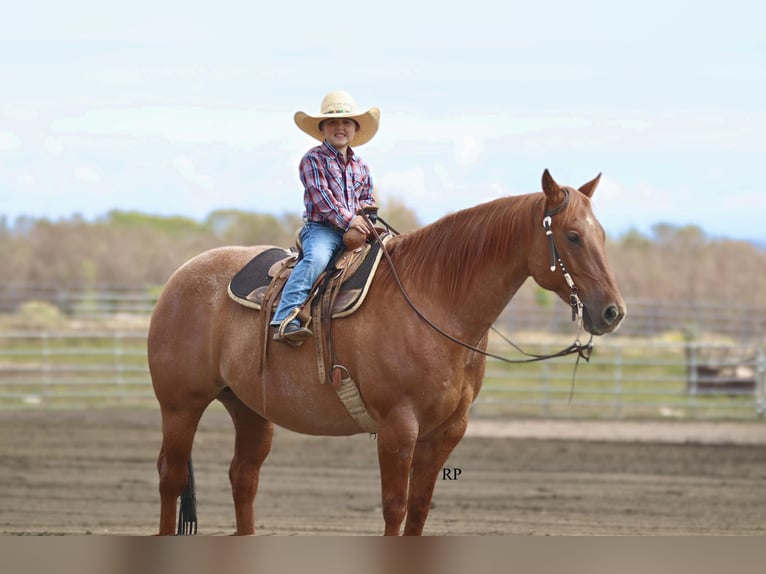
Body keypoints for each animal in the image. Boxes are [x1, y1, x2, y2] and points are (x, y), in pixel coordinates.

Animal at [148, 169, 625, 536]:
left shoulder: (447, 430)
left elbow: (419, 508)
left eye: (602, 234)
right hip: (180, 406)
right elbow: (395, 506)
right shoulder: (398, 427)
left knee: (243, 478)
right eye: (572, 236)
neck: (435, 302)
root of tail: (179, 277)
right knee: (171, 477)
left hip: (249, 408)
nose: (611, 311)